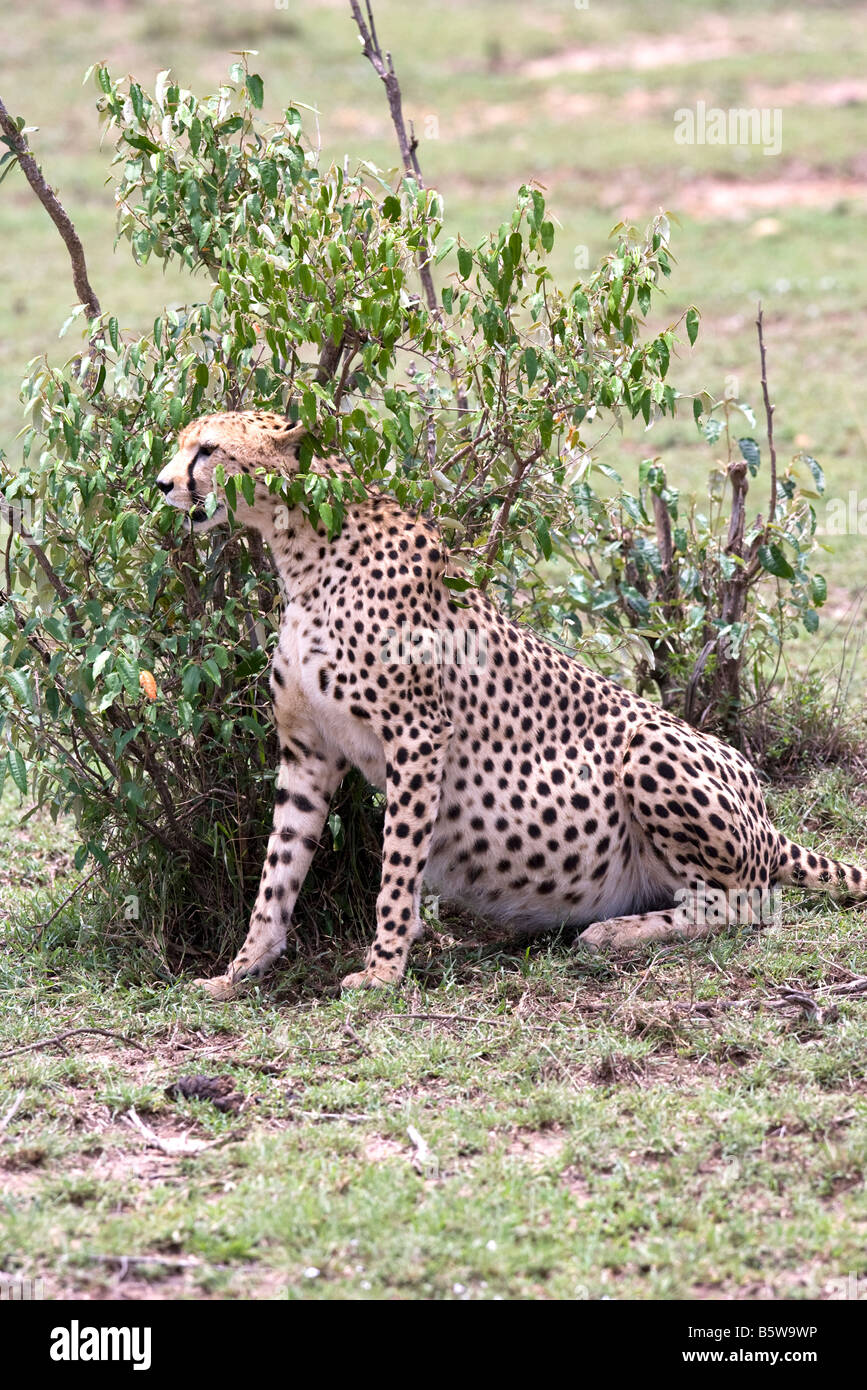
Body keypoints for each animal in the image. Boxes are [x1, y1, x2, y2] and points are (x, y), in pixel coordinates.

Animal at [154, 409, 867, 997]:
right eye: (184, 445)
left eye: (208, 450)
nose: (162, 484)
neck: (303, 551)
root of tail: (766, 814)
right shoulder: (308, 751)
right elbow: (279, 870)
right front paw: (240, 970)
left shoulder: (417, 734)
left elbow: (398, 866)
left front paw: (383, 970)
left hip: (647, 749)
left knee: (748, 904)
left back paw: (614, 934)